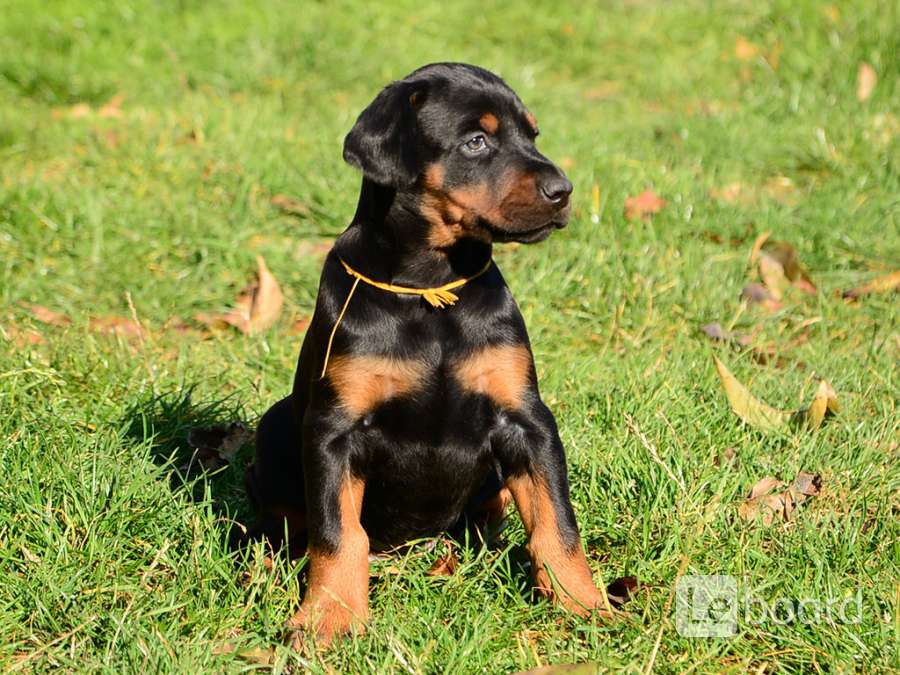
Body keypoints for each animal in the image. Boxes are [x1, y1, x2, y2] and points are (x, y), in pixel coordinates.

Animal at [244, 62, 604, 644]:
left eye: (532, 135)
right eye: (476, 141)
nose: (563, 190)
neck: (431, 290)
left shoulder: (527, 419)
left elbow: (557, 522)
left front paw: (586, 606)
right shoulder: (334, 429)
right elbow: (337, 533)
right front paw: (330, 620)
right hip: (277, 424)